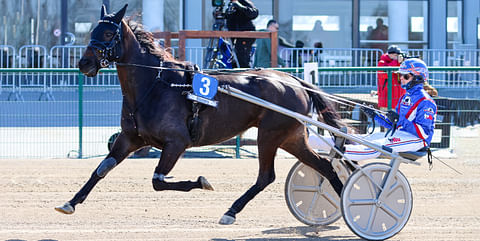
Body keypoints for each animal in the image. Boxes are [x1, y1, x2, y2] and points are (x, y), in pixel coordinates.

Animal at [56, 4, 344, 225]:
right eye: (91, 31)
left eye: (107, 32)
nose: (84, 63)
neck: (156, 85)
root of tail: (293, 80)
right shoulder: (130, 138)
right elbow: (101, 169)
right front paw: (70, 202)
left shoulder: (176, 142)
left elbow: (158, 181)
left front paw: (202, 181)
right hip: (291, 137)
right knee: (324, 166)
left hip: (270, 135)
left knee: (267, 176)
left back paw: (231, 211)